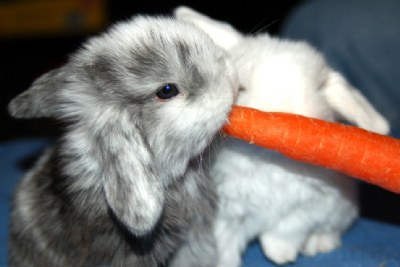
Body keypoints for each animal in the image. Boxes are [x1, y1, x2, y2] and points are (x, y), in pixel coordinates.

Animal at [174, 5, 388, 266]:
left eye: (317, 90)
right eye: (241, 87)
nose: (286, 114)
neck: (271, 160)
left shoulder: (310, 206)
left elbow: (287, 229)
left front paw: (280, 253)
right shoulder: (226, 213)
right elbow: (224, 244)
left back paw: (318, 244)